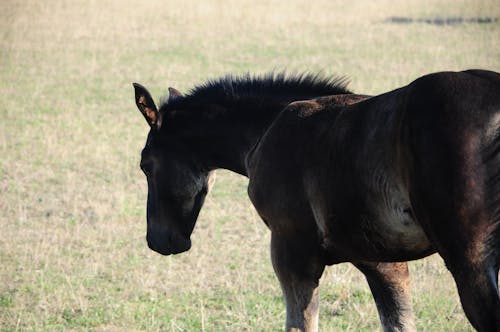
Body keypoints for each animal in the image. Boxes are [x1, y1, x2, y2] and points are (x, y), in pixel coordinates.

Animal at [134, 70, 500, 332]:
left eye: (145, 165)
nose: (157, 240)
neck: (266, 130)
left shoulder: (292, 250)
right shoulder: (381, 260)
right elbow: (399, 322)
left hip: (470, 261)